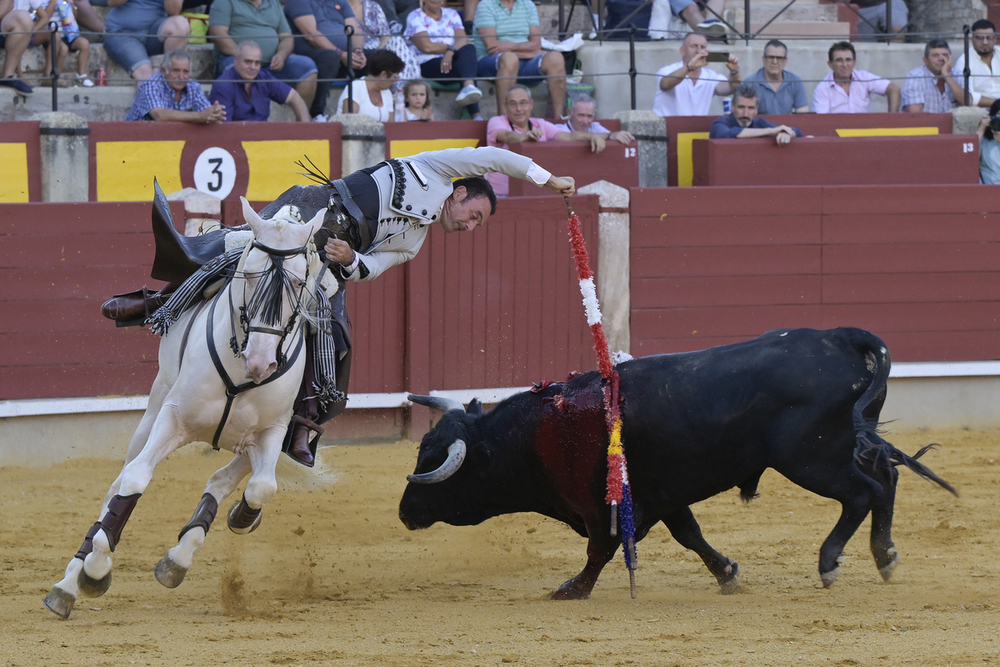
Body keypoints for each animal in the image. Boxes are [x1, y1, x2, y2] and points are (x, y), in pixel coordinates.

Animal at [45, 198, 326, 620]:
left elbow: (262, 488)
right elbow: (133, 480)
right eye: (250, 275)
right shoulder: (173, 417)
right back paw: (69, 584)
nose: (261, 362)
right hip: (154, 407)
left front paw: (239, 520)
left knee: (225, 480)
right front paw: (94, 571)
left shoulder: (273, 431)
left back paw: (180, 557)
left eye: (297, 283)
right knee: (119, 481)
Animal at [396, 328, 952, 600]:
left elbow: (600, 549)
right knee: (886, 478)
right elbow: (690, 534)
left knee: (863, 492)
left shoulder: (606, 506)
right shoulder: (663, 495)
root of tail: (839, 337)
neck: (542, 432)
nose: (403, 511)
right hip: (838, 448)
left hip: (810, 457)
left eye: (435, 466)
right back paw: (885, 556)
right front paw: (727, 573)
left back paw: (831, 562)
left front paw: (572, 589)